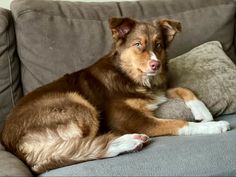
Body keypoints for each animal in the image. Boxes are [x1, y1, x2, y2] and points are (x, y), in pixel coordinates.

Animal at [0, 17, 230, 173]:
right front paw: (214, 126)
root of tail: (10, 141)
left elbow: (182, 88)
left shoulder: (158, 90)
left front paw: (203, 111)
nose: (155, 65)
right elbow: (179, 123)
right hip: (77, 103)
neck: (128, 76)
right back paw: (127, 142)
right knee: (79, 149)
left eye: (158, 45)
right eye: (138, 44)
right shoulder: (134, 119)